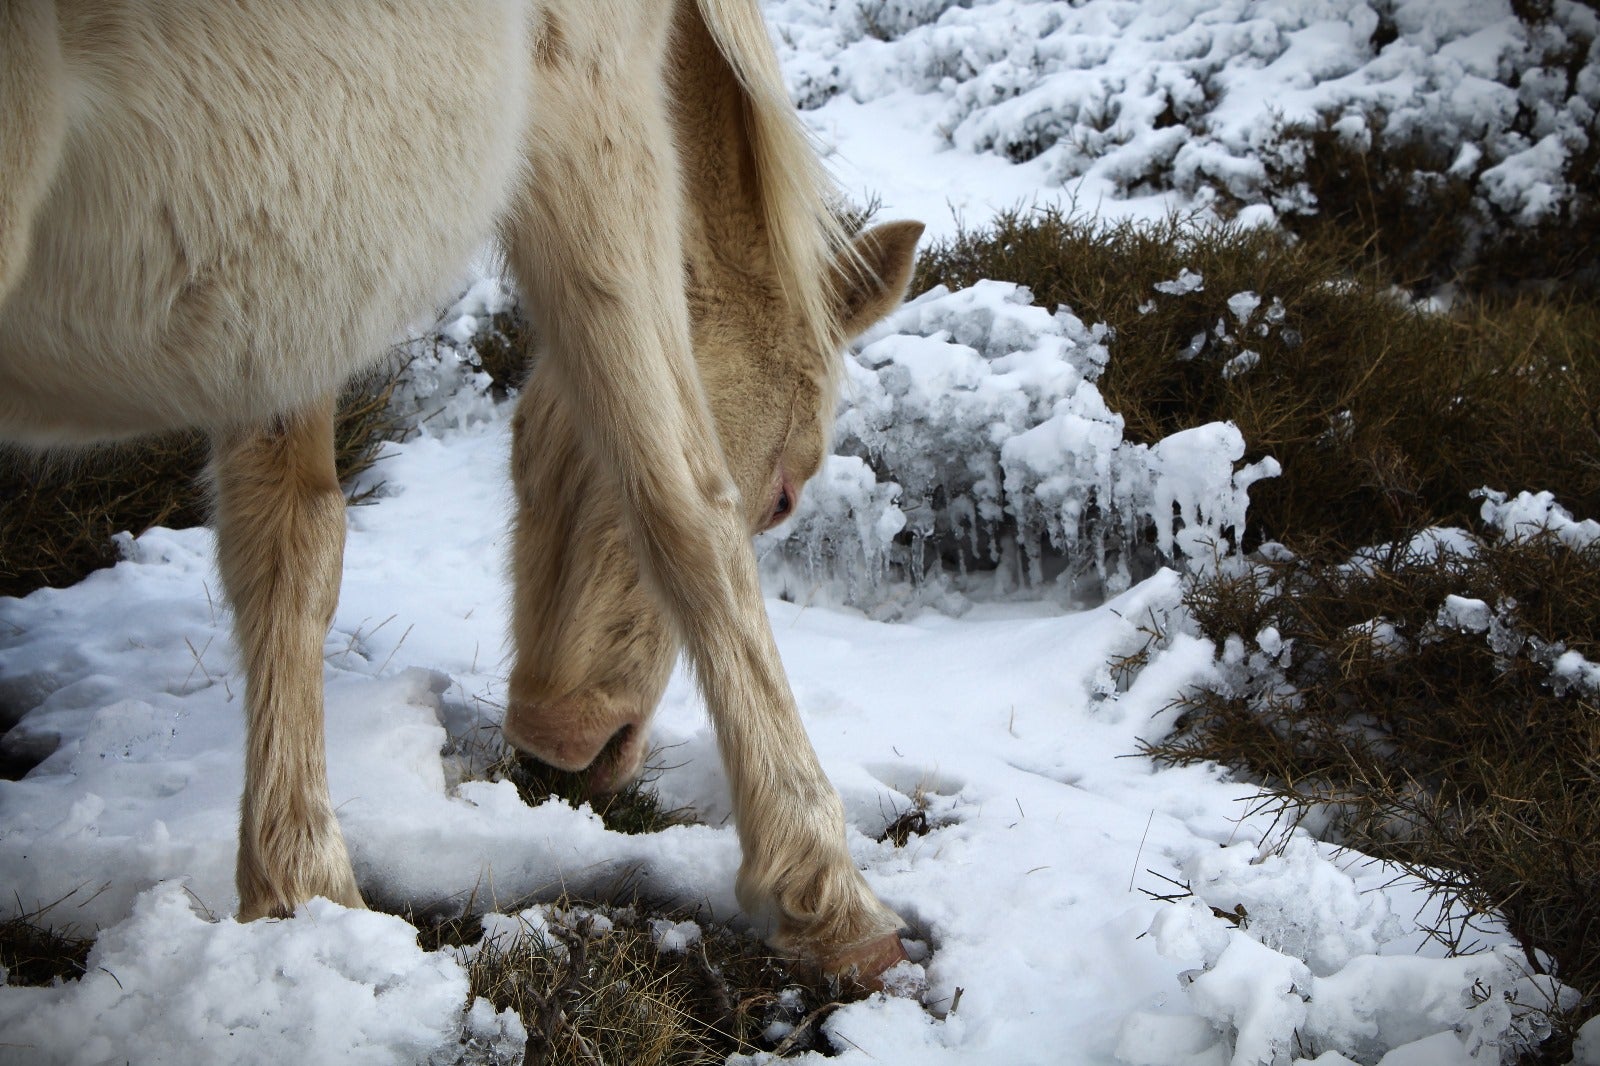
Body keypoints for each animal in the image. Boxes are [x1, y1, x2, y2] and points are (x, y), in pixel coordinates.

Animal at [0, 0, 923, 981]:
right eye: (783, 499)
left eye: (521, 441)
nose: (557, 745)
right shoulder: (593, 96)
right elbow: (685, 498)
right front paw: (825, 887)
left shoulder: (283, 287)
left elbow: (290, 539)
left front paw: (300, 888)